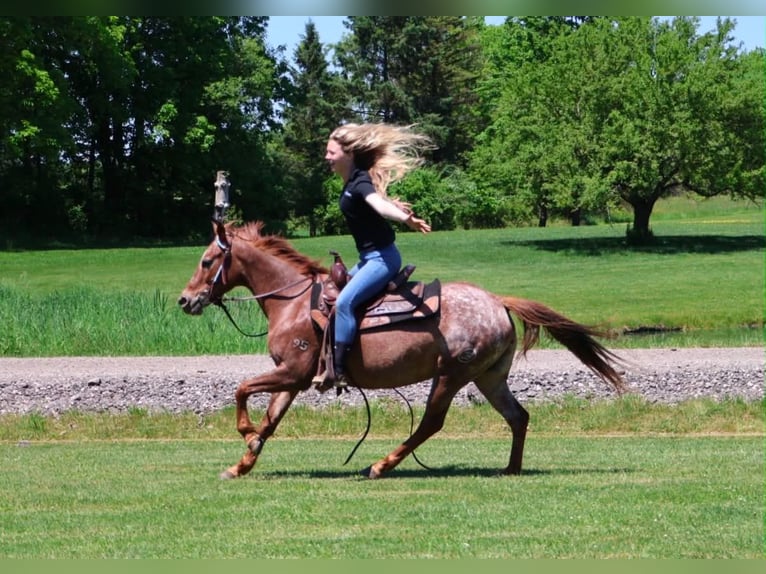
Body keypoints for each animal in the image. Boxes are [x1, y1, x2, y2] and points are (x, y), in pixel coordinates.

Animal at [178, 219, 627, 480]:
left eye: (206, 261)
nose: (184, 301)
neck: (294, 302)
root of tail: (498, 301)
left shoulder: (293, 373)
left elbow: (241, 390)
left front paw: (245, 432)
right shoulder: (291, 378)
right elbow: (271, 419)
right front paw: (242, 462)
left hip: (451, 375)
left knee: (431, 423)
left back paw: (381, 464)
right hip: (489, 377)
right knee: (518, 416)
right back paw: (511, 469)